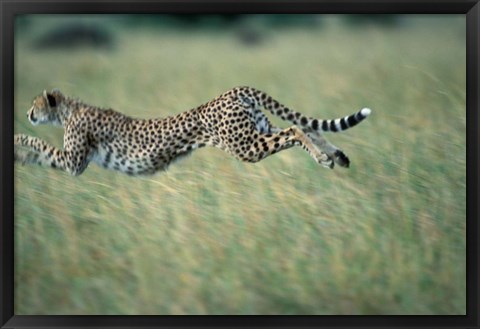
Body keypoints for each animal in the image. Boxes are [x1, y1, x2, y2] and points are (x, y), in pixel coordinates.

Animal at [12, 86, 372, 176]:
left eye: (35, 104)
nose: (28, 112)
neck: (68, 110)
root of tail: (234, 89)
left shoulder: (75, 163)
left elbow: (37, 143)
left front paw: (16, 140)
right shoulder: (71, 163)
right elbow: (40, 155)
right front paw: (19, 158)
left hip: (245, 146)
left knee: (296, 129)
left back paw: (325, 158)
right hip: (256, 130)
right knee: (304, 127)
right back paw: (335, 156)